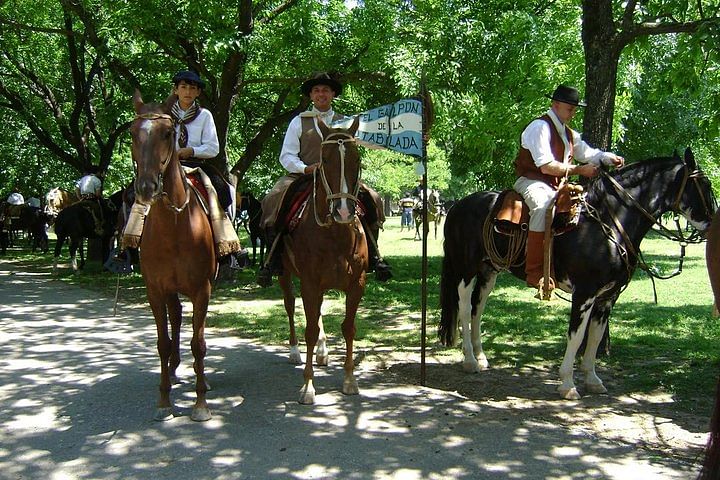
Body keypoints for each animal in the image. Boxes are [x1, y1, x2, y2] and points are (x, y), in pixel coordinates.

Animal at [129, 92, 215, 422]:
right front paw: (164, 400)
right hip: (169, 291)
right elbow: (163, 343)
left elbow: (199, 343)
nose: (147, 187)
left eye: (168, 133)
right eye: (132, 133)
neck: (176, 225)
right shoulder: (155, 289)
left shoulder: (202, 289)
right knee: (176, 317)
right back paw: (175, 369)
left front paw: (200, 402)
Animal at [276, 116, 366, 404]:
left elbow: (348, 328)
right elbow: (310, 330)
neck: (336, 234)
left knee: (318, 313)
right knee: (291, 307)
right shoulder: (309, 283)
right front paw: (307, 386)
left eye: (357, 159)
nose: (344, 211)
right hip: (285, 275)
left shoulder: (356, 284)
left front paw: (349, 379)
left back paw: (323, 352)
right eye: (324, 160)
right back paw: (295, 351)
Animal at [438, 148, 716, 400]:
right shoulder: (585, 294)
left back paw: (481, 357)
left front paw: (592, 379)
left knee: (477, 309)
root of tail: (457, 206)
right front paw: (568, 384)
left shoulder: (607, 297)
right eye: (705, 184)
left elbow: (594, 337)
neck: (608, 223)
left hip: (489, 272)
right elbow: (577, 335)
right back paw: (469, 361)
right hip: (466, 270)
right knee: (465, 308)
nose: (712, 225)